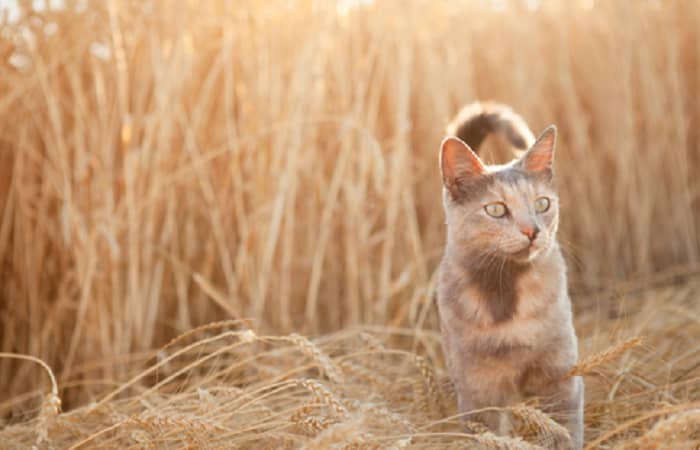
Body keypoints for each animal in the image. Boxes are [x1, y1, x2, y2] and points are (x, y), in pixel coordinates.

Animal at [438, 103, 584, 450]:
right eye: (495, 210)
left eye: (542, 203)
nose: (533, 231)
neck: (507, 291)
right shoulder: (479, 393)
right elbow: (488, 436)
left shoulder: (561, 378)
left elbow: (564, 432)